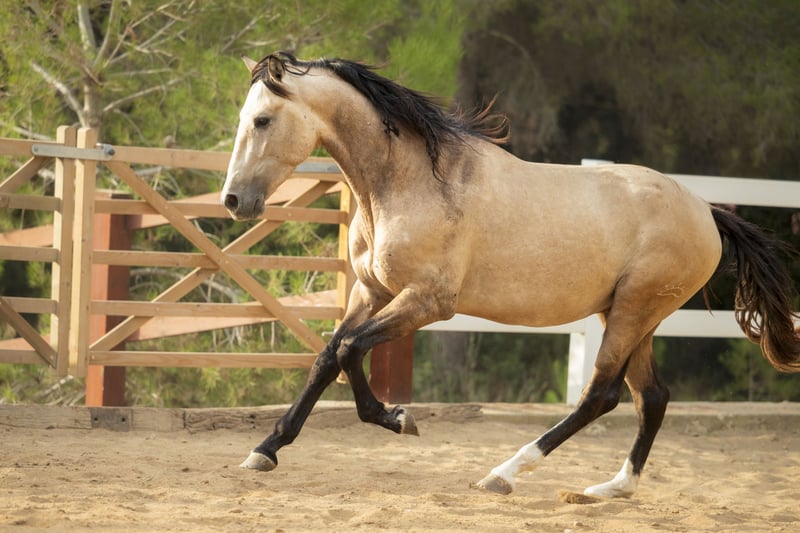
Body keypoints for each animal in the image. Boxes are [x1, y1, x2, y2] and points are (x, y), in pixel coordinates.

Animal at [220, 51, 800, 499]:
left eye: (263, 120)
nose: (233, 201)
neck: (408, 181)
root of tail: (707, 211)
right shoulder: (372, 290)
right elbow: (327, 357)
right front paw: (265, 450)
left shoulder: (426, 301)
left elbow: (348, 351)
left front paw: (399, 418)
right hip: (632, 315)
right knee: (650, 397)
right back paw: (611, 489)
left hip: (634, 311)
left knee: (602, 395)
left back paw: (503, 475)